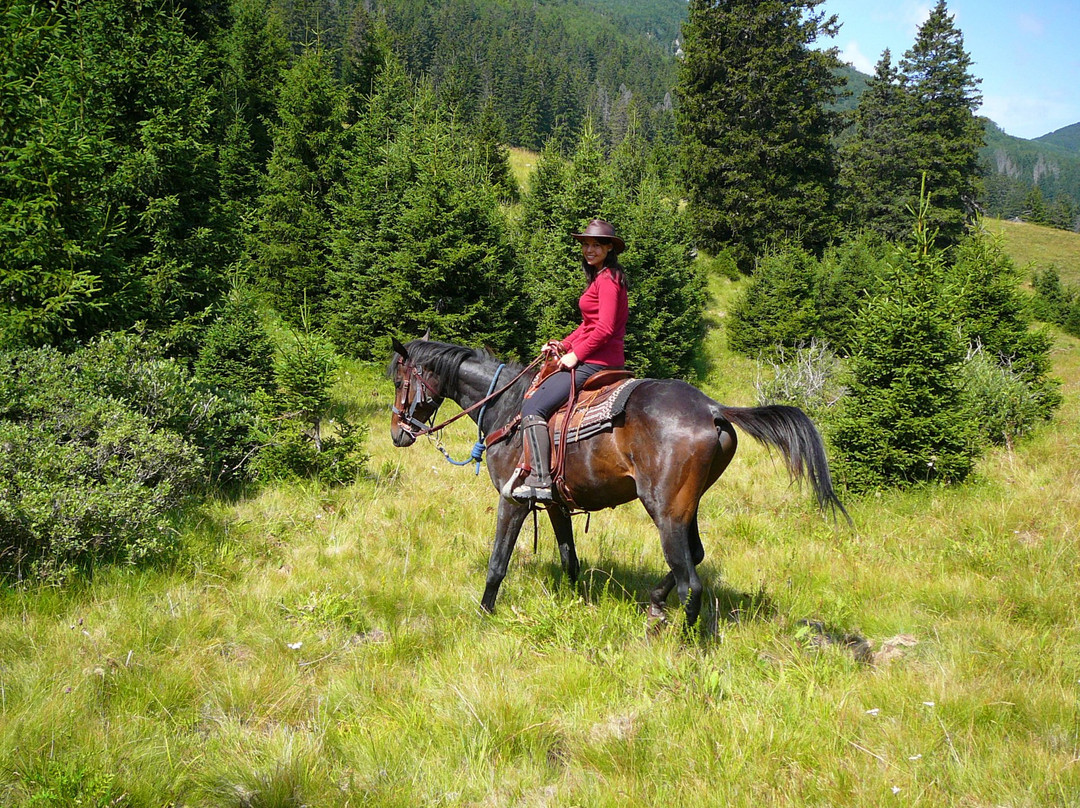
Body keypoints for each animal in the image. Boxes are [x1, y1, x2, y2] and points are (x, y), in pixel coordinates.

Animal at [388, 337, 842, 626]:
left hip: (664, 508)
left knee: (690, 581)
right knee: (694, 555)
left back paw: (683, 645)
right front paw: (573, 602)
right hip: (686, 505)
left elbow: (497, 563)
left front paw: (484, 615)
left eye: (398, 381)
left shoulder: (512, 500)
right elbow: (569, 558)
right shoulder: (555, 503)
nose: (398, 433)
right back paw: (655, 602)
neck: (509, 406)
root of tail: (712, 408)